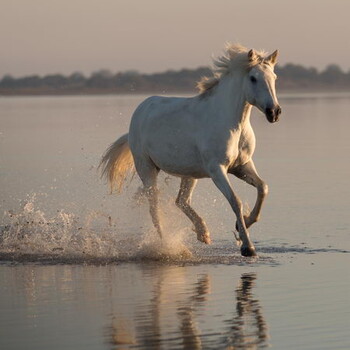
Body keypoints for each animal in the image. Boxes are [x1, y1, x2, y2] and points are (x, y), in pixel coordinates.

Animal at [100, 44, 280, 258]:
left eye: (274, 77)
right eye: (253, 78)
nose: (274, 112)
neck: (232, 123)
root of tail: (141, 109)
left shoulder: (242, 166)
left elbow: (263, 188)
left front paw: (243, 223)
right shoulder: (217, 170)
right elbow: (235, 201)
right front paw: (247, 247)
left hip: (189, 173)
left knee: (181, 201)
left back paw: (203, 234)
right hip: (146, 168)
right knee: (155, 209)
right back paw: (165, 245)